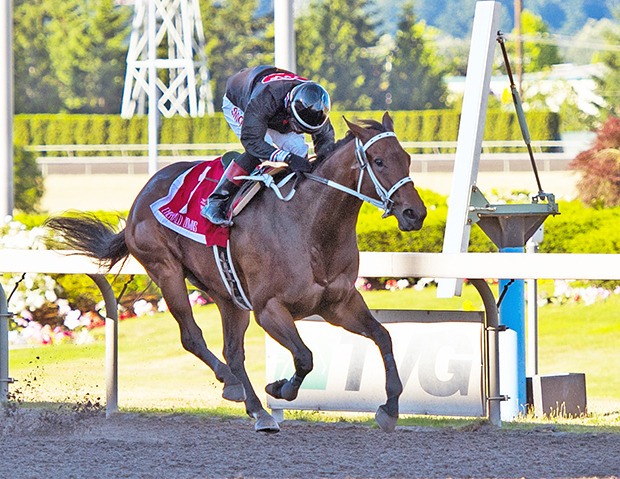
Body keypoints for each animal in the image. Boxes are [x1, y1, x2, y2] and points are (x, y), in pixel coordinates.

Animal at [46, 113, 426, 436]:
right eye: (378, 161)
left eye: (406, 158)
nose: (415, 213)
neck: (311, 227)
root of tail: (143, 194)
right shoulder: (269, 309)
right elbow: (305, 357)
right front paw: (279, 387)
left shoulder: (339, 303)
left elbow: (383, 337)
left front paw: (389, 409)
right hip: (166, 271)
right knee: (193, 336)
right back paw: (234, 385)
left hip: (227, 293)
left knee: (232, 350)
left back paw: (254, 407)